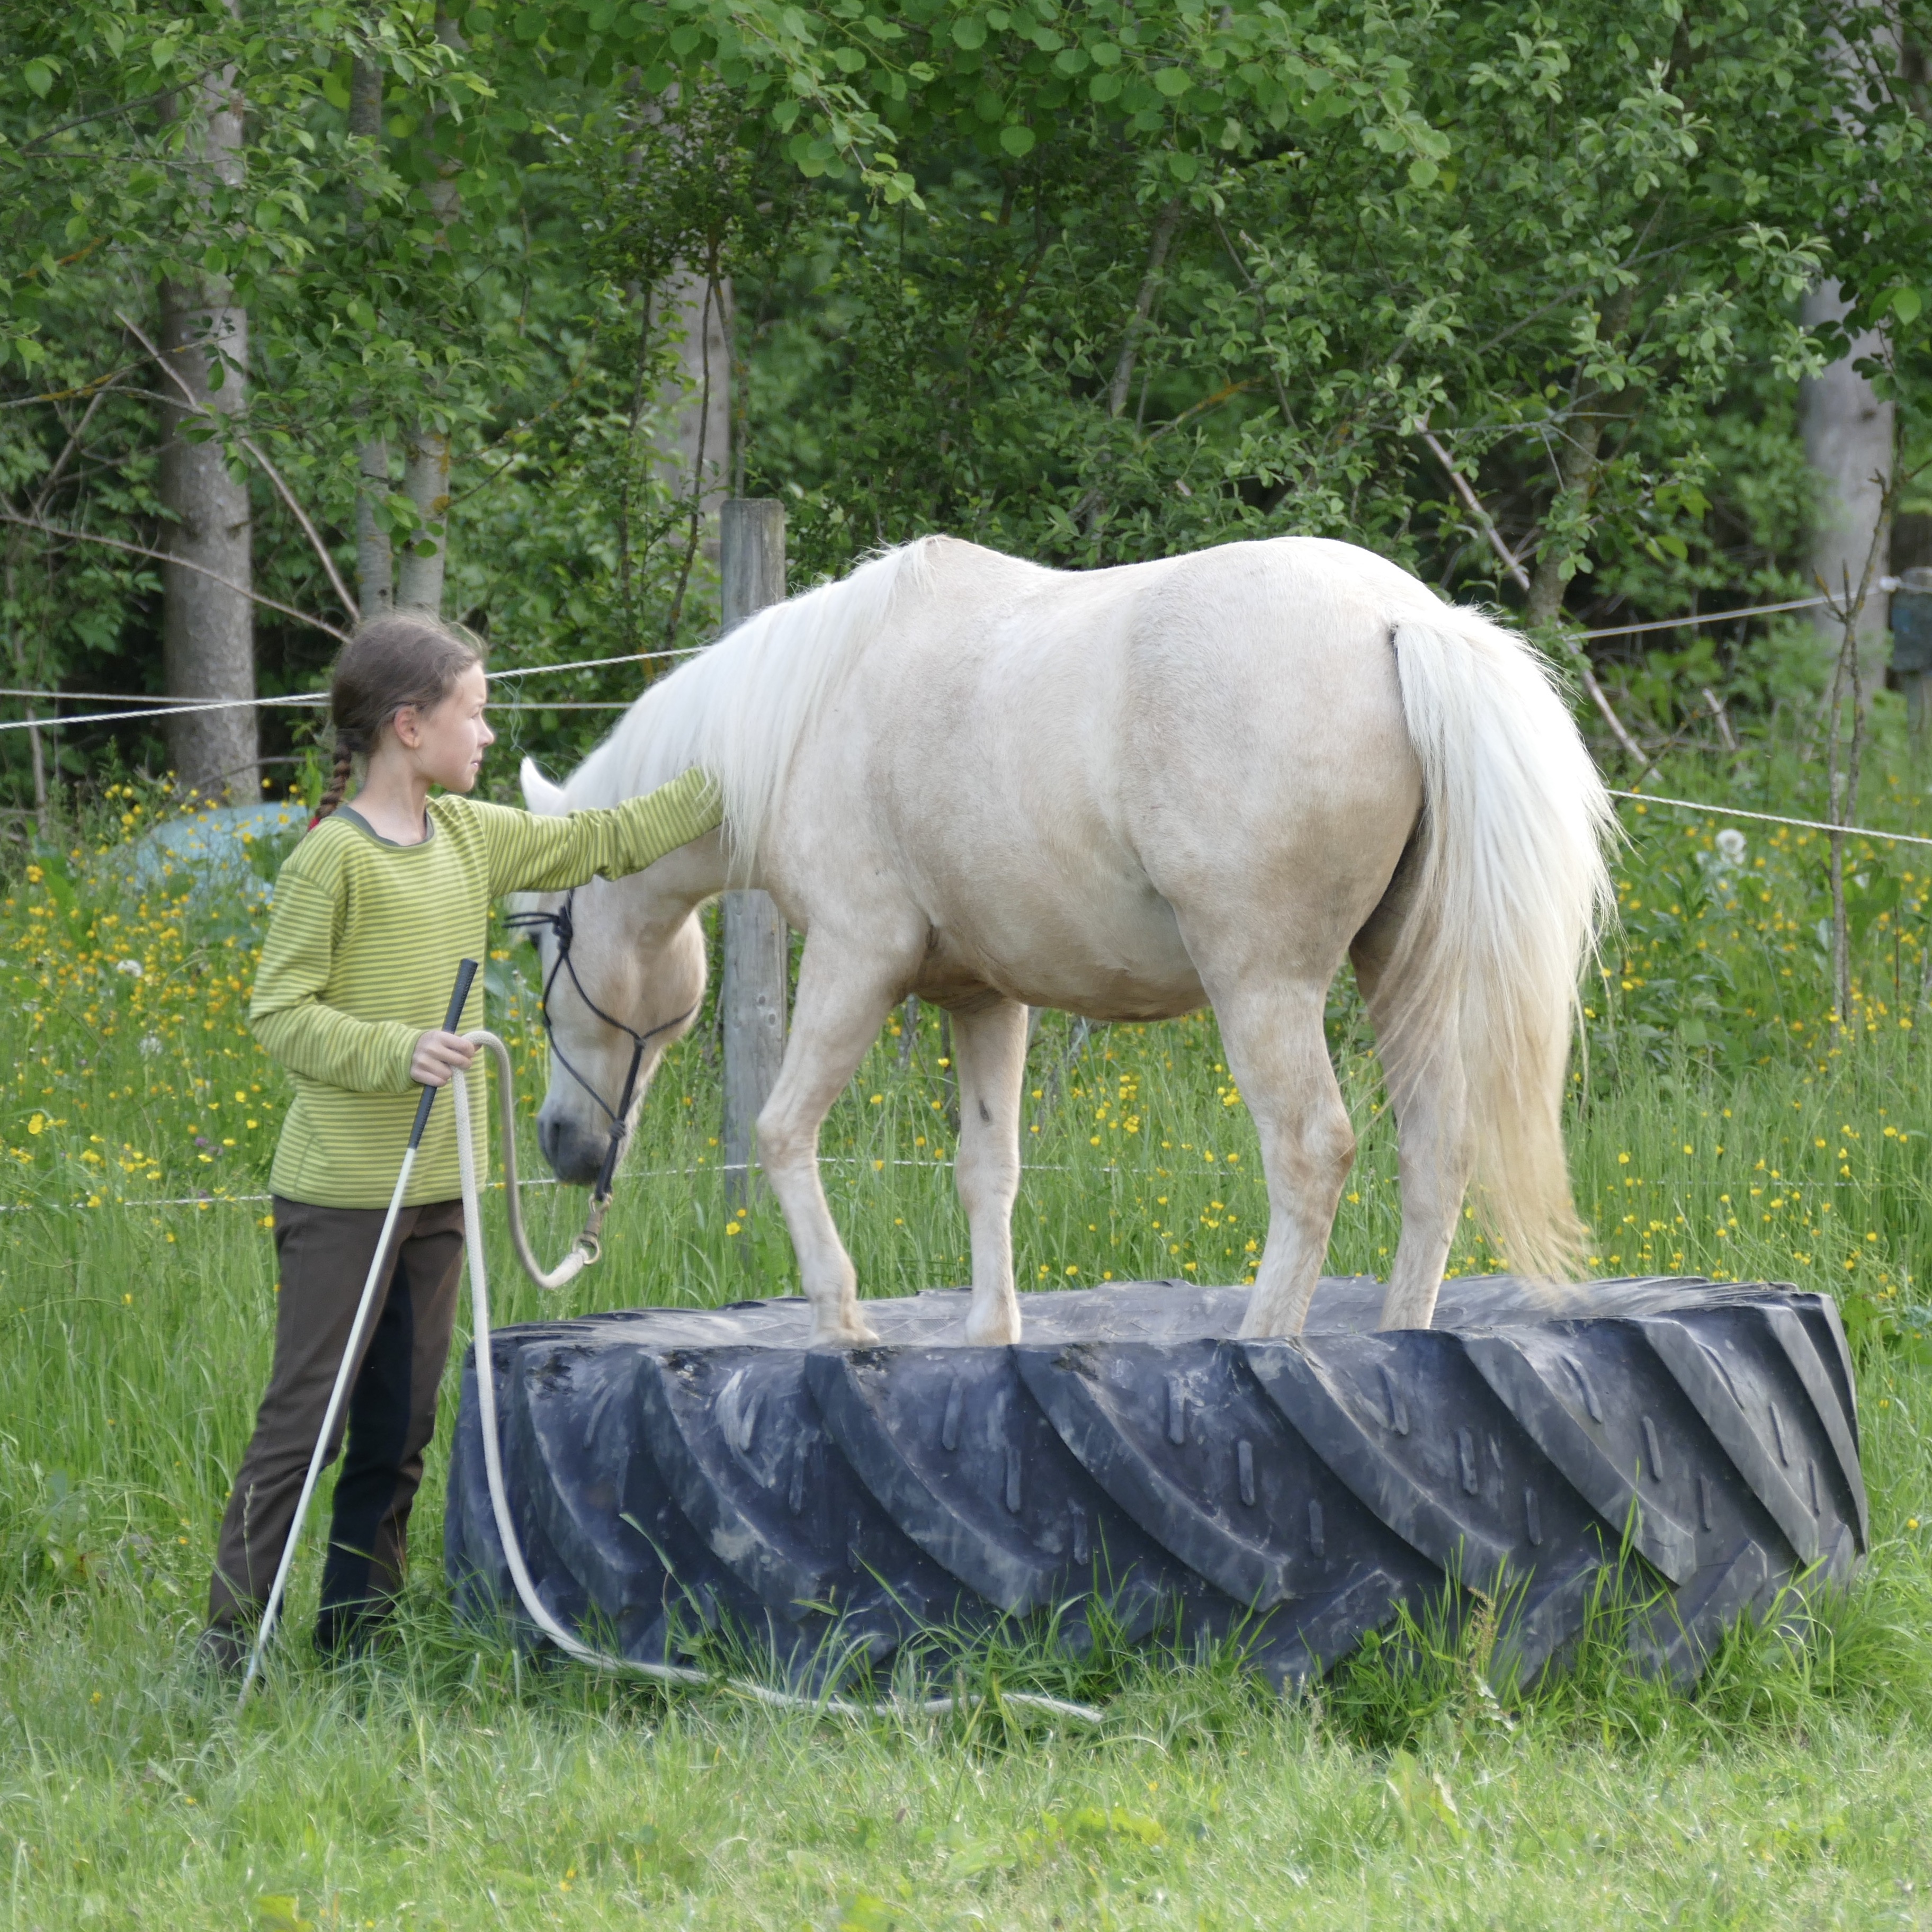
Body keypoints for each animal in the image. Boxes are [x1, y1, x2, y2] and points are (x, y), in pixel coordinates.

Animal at [512, 533, 1614, 1347]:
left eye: (543, 943)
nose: (561, 1143)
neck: (813, 712)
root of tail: (1402, 618)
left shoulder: (853, 959)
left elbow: (783, 1130)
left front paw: (840, 1319)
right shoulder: (983, 999)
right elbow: (986, 1170)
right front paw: (990, 1335)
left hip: (1262, 985)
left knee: (1309, 1150)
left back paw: (1261, 1343)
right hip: (1397, 971)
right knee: (1435, 1146)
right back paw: (1397, 1336)